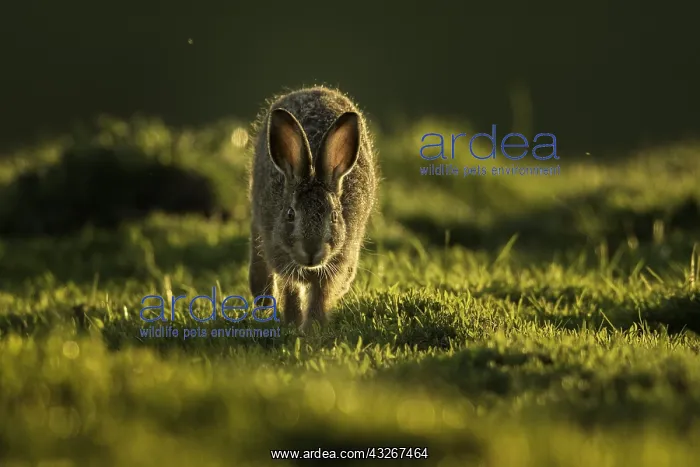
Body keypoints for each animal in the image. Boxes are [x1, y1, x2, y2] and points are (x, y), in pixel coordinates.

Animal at [248, 86, 378, 331]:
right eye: (290, 214)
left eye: (334, 216)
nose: (311, 250)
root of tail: (316, 89)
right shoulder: (280, 255)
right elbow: (290, 289)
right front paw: (293, 323)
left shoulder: (338, 261)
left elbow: (321, 294)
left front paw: (313, 328)